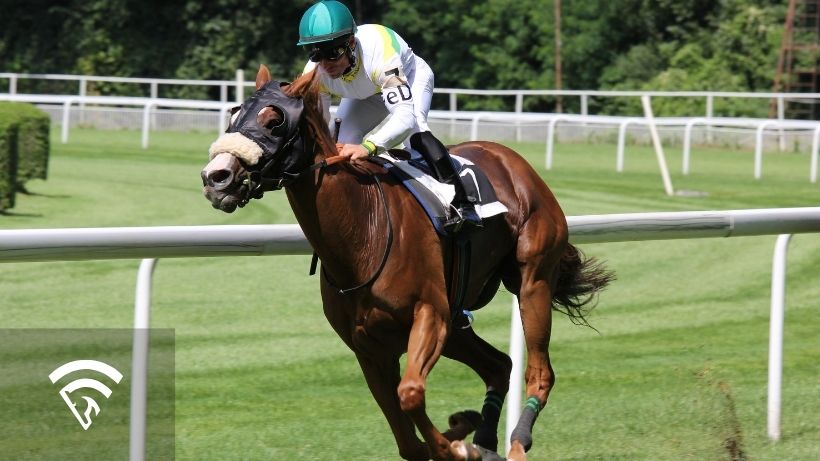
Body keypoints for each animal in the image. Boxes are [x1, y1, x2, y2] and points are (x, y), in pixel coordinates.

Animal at [201, 64, 613, 461]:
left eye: (275, 121)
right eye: (235, 114)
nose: (215, 177)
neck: (362, 233)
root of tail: (513, 160)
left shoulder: (430, 315)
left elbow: (411, 393)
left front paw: (456, 445)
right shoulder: (370, 348)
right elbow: (408, 442)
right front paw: (460, 437)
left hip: (531, 281)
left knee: (540, 372)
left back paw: (515, 443)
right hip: (457, 322)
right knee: (499, 365)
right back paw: (484, 441)